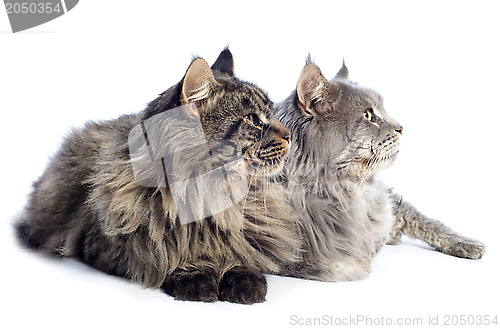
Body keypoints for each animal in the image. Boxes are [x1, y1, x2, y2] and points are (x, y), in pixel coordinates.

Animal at [16, 50, 300, 304]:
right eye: (253, 120)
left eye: (272, 114)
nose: (289, 135)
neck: (208, 195)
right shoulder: (112, 248)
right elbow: (171, 258)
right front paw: (196, 276)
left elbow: (240, 254)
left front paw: (243, 280)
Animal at [274, 58, 484, 280]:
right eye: (367, 115)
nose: (402, 128)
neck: (347, 189)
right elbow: (302, 262)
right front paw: (360, 262)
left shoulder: (389, 199)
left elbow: (425, 222)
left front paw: (467, 243)